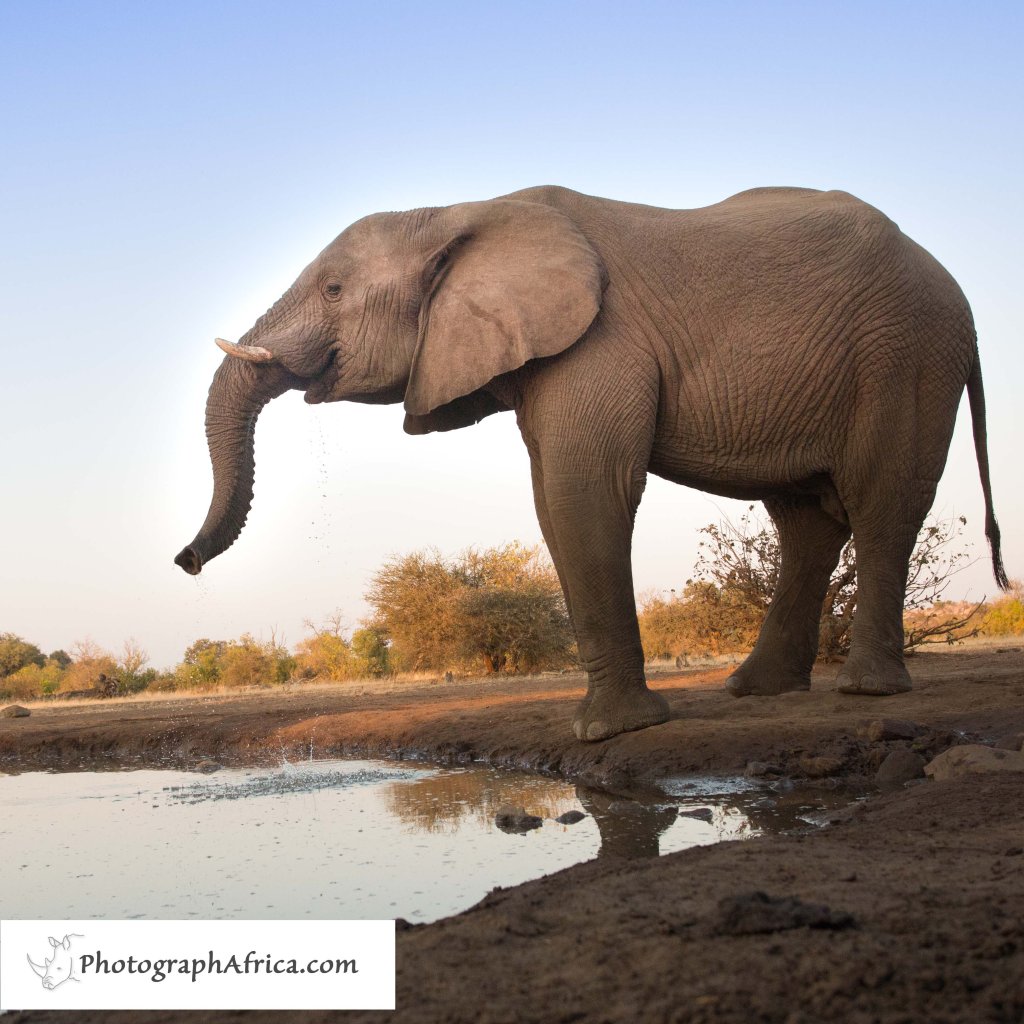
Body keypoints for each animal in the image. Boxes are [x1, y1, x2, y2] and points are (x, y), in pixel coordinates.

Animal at [176, 186, 1007, 737]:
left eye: (334, 288)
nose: (185, 562)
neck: (461, 209)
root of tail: (958, 294)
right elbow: (553, 498)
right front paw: (618, 725)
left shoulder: (598, 342)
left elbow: (584, 491)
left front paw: (613, 731)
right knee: (805, 519)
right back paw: (755, 691)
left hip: (907, 355)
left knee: (881, 504)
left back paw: (868, 694)